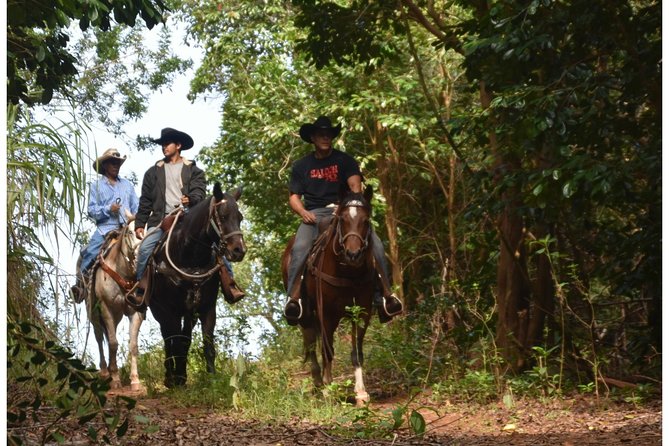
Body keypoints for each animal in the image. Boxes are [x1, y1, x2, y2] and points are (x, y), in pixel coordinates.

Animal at [146, 181, 245, 386]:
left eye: (240, 217)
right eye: (223, 215)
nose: (239, 250)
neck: (190, 259)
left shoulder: (206, 308)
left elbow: (206, 344)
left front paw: (212, 379)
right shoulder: (170, 311)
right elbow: (174, 341)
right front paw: (175, 379)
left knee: (183, 338)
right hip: (160, 311)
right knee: (168, 338)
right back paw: (171, 375)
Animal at [280, 186, 376, 406]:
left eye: (366, 220)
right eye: (342, 219)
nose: (353, 254)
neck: (347, 272)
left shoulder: (362, 312)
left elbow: (356, 351)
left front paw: (361, 393)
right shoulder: (326, 313)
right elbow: (327, 349)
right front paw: (328, 389)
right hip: (306, 313)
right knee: (310, 343)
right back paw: (317, 382)